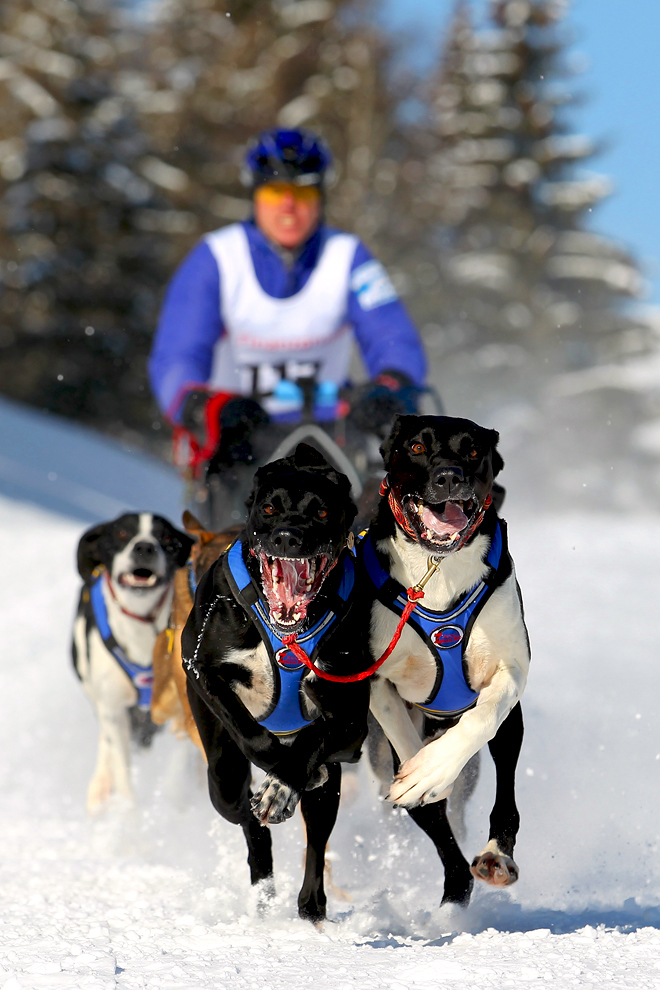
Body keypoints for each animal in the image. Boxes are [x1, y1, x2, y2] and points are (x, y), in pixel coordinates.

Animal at [75, 512, 195, 812]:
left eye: (166, 537)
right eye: (121, 533)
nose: (144, 547)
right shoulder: (115, 709)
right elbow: (124, 777)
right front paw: (130, 817)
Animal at [180, 446, 372, 928]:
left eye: (321, 511)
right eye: (269, 508)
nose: (287, 537)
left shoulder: (350, 725)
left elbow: (313, 741)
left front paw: (284, 782)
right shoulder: (201, 668)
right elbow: (249, 731)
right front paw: (275, 773)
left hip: (327, 795)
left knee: (316, 842)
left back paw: (312, 906)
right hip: (222, 780)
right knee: (249, 821)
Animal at [364, 414, 528, 912]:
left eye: (472, 450)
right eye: (417, 446)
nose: (449, 477)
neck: (435, 569)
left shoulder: (509, 670)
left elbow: (483, 719)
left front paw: (435, 769)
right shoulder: (373, 678)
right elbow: (407, 751)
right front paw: (424, 775)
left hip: (509, 732)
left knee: (504, 786)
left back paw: (495, 857)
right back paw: (455, 884)